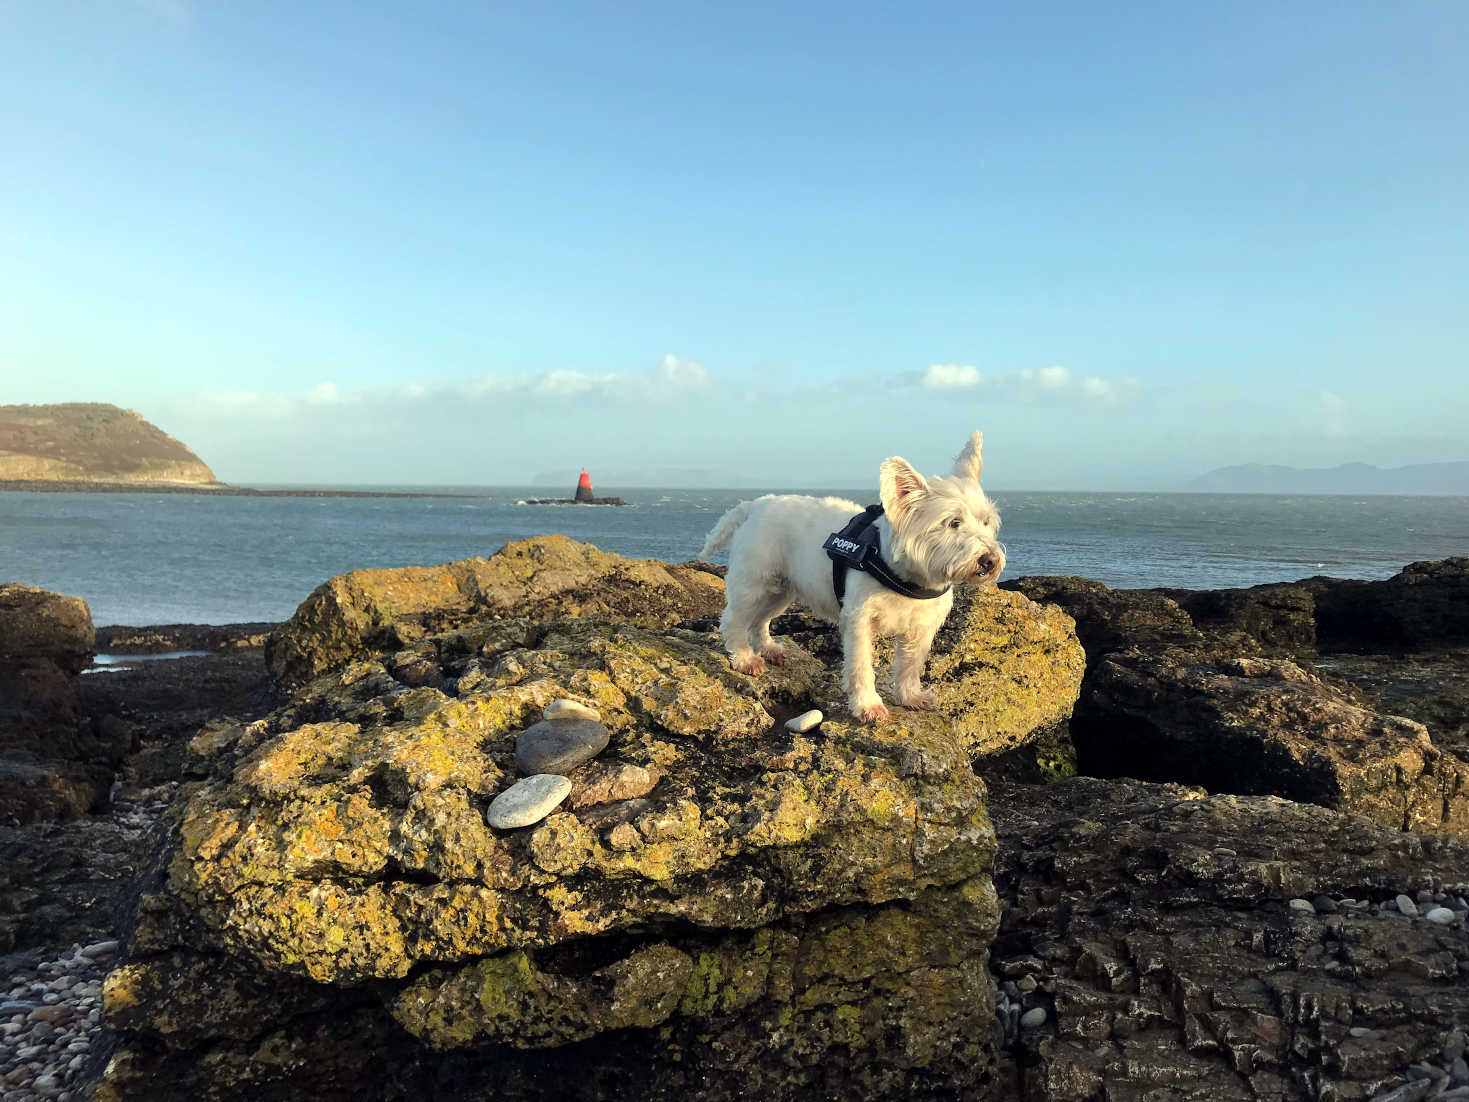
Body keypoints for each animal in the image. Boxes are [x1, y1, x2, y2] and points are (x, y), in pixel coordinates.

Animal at [696, 429, 998, 725]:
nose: (990, 561)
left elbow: (910, 665)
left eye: (987, 521)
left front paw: (911, 697)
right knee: (734, 621)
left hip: (782, 589)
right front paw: (868, 706)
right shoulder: (859, 620)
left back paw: (770, 649)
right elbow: (861, 665)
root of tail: (755, 505)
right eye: (953, 522)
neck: (908, 577)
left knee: (760, 620)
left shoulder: (921, 627)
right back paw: (745, 659)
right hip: (753, 582)